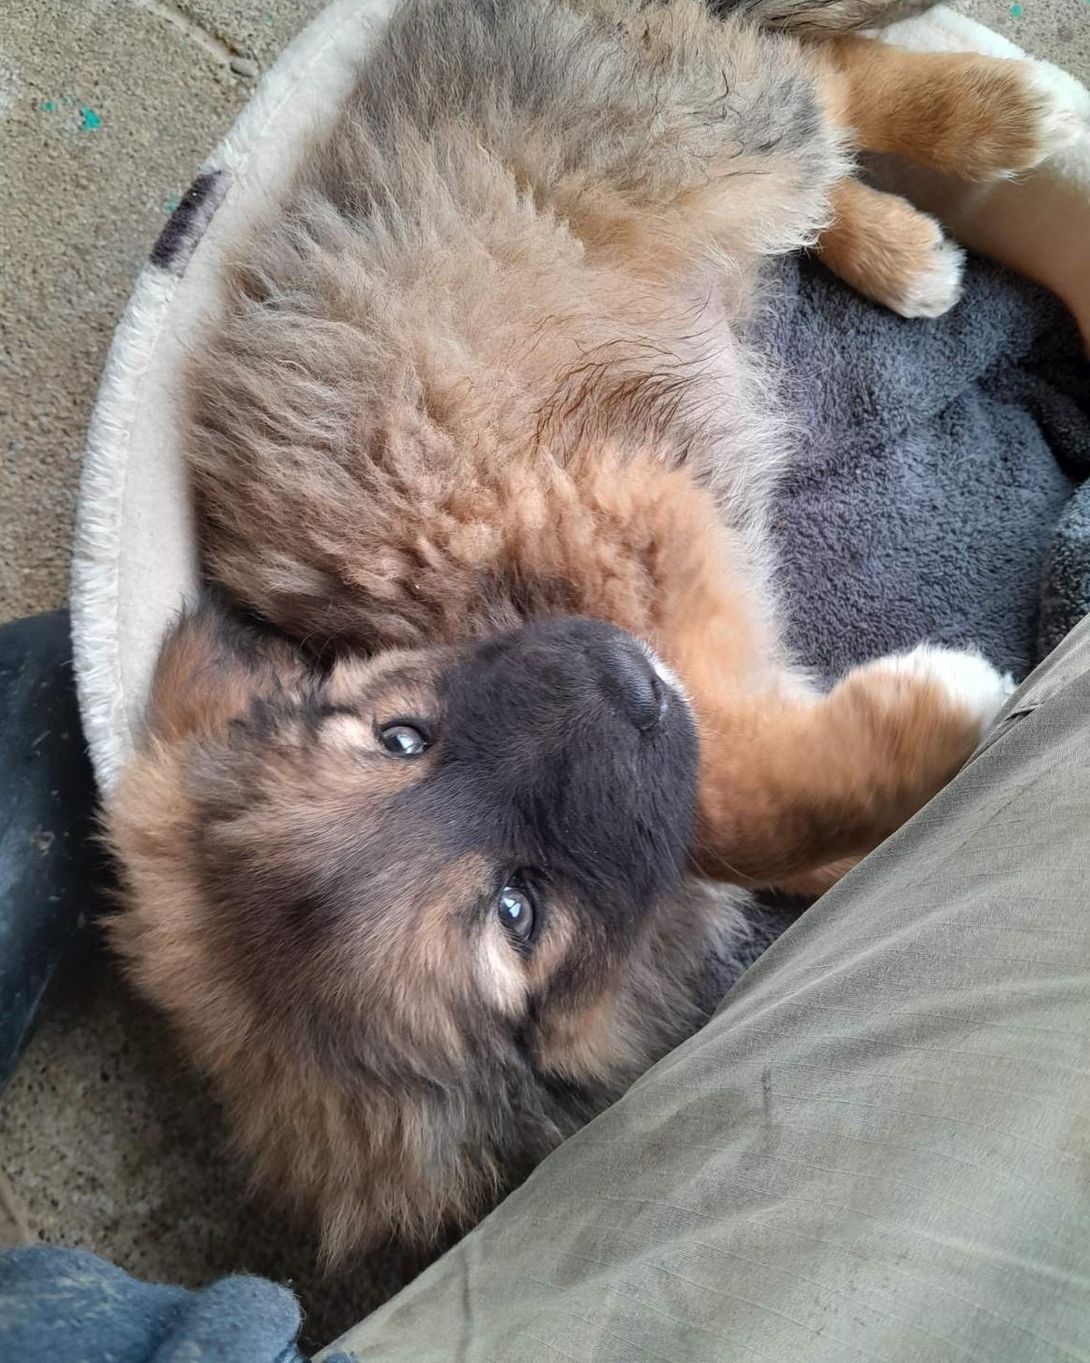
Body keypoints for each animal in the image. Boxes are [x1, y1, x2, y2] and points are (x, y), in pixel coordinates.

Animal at [106, 0, 1069, 1262]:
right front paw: (886, 795)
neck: (452, 617)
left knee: (822, 81)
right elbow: (722, 803)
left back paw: (1002, 116)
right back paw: (907, 244)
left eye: (398, 738)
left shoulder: (626, 514)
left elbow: (732, 783)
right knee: (811, 130)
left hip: (680, 126)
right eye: (519, 911)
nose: (620, 675)